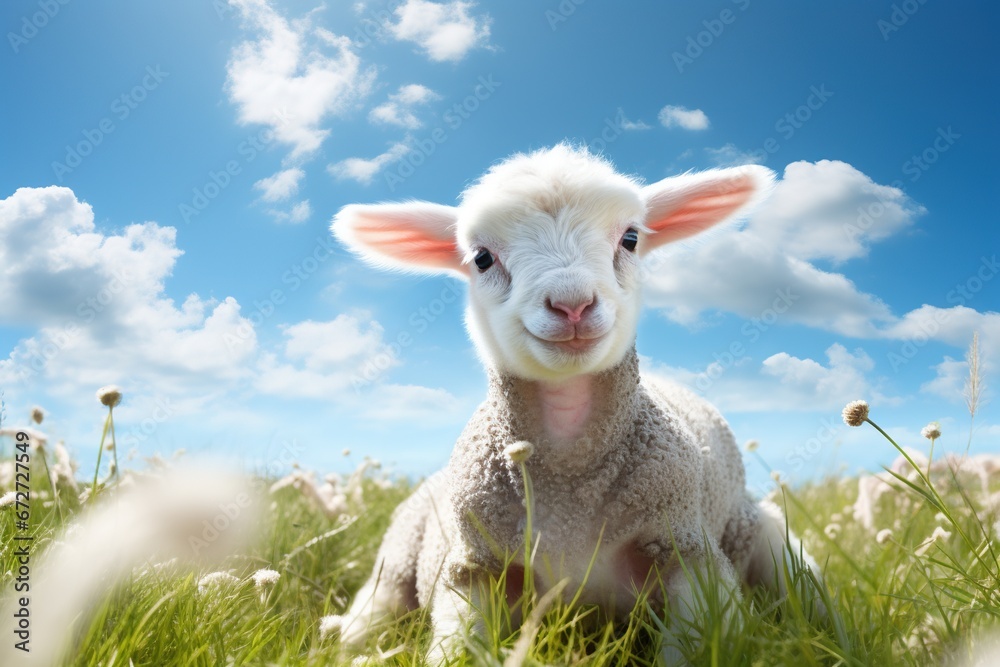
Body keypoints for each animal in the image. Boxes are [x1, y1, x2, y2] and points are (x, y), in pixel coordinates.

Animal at [329, 143, 822, 662]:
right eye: (481, 258)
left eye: (630, 238)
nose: (572, 305)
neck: (570, 491)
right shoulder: (473, 567)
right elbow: (459, 648)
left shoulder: (688, 551)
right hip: (395, 563)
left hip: (770, 539)